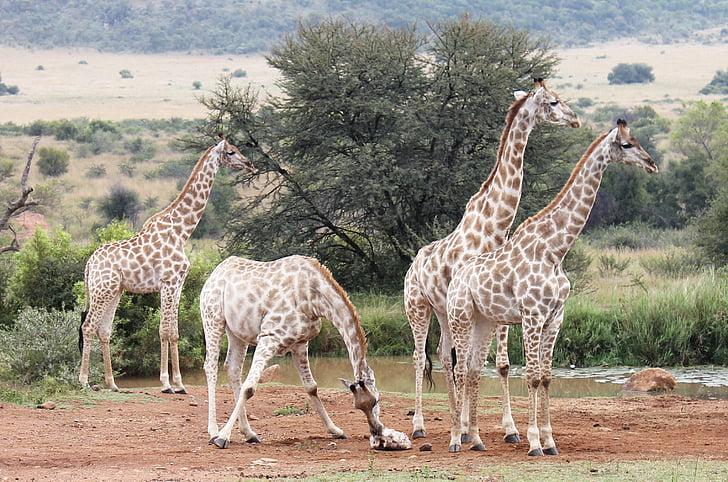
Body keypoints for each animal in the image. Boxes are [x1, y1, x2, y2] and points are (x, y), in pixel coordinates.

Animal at [77, 136, 256, 392]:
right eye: (231, 152)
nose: (250, 165)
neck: (182, 232)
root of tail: (89, 264)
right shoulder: (168, 282)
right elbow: (164, 330)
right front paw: (167, 382)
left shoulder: (178, 284)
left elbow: (173, 331)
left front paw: (177, 382)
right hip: (102, 290)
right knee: (88, 326)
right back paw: (83, 380)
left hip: (114, 291)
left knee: (104, 330)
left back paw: (112, 384)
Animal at [202, 254, 412, 450]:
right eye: (363, 404)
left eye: (376, 401)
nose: (376, 432)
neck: (314, 298)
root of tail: (214, 273)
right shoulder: (269, 336)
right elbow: (249, 387)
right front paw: (223, 437)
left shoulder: (300, 343)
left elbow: (311, 387)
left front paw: (336, 431)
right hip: (213, 319)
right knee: (211, 366)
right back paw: (214, 431)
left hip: (237, 332)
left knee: (232, 368)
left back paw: (249, 433)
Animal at [404, 79, 580, 444]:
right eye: (553, 102)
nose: (575, 120)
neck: (494, 226)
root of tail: (413, 265)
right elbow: (474, 362)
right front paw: (472, 429)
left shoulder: (496, 305)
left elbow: (498, 363)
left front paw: (508, 429)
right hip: (418, 306)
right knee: (419, 357)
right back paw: (420, 425)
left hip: (444, 311)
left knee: (443, 355)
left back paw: (455, 418)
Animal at [446, 119, 656, 456]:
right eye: (626, 144)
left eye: (636, 140)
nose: (651, 164)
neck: (555, 250)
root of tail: (456, 277)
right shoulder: (532, 315)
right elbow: (531, 377)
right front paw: (533, 442)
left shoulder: (556, 317)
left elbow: (545, 377)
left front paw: (550, 441)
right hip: (460, 317)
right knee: (460, 369)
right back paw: (456, 439)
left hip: (485, 321)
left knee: (474, 369)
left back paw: (476, 439)